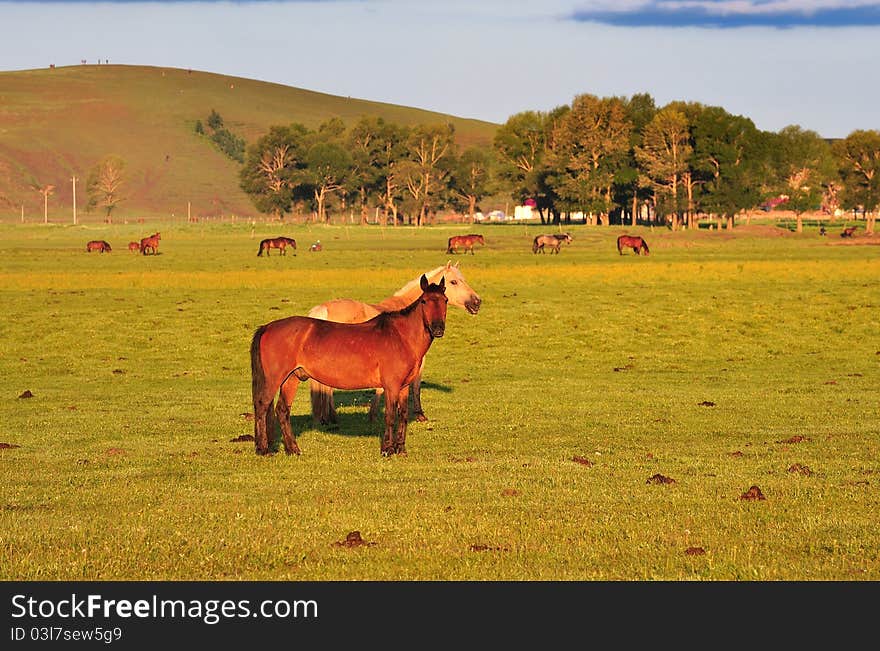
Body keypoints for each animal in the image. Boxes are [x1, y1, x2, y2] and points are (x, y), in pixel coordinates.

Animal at [253, 278, 446, 456]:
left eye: (445, 300)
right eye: (424, 301)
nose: (438, 329)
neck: (400, 336)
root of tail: (268, 327)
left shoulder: (404, 386)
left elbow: (403, 415)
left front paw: (401, 449)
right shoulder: (391, 386)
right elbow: (390, 416)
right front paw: (387, 449)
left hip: (291, 378)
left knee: (282, 410)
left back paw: (293, 449)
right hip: (274, 380)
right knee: (262, 406)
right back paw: (263, 449)